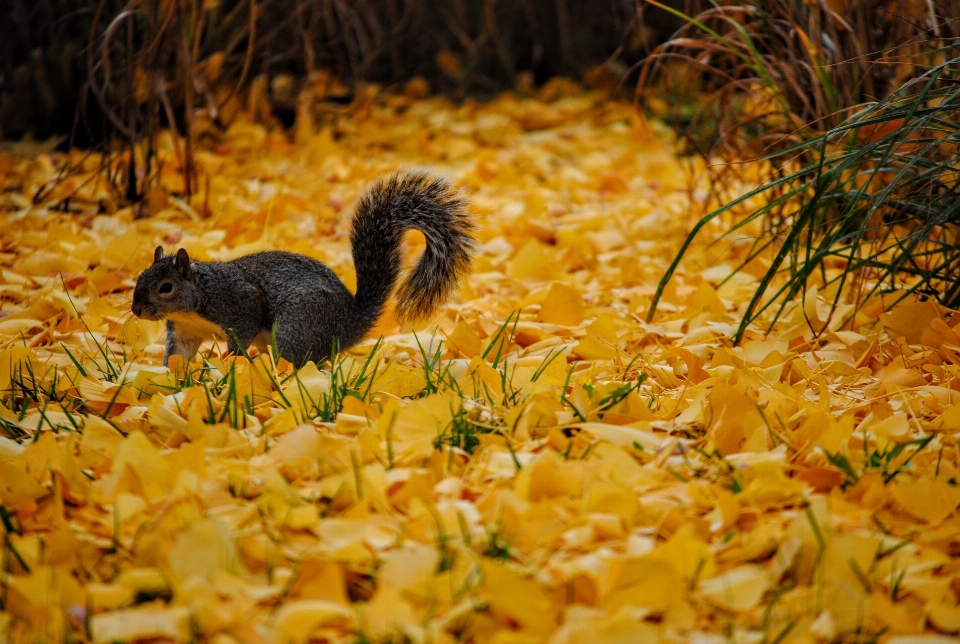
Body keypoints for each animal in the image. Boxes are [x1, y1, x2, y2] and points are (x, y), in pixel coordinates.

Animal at [131, 171, 476, 368]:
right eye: (139, 279)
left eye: (166, 287)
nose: (136, 311)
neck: (197, 298)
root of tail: (350, 322)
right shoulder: (185, 331)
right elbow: (178, 355)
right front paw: (167, 376)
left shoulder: (239, 302)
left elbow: (242, 332)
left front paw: (232, 365)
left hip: (296, 326)